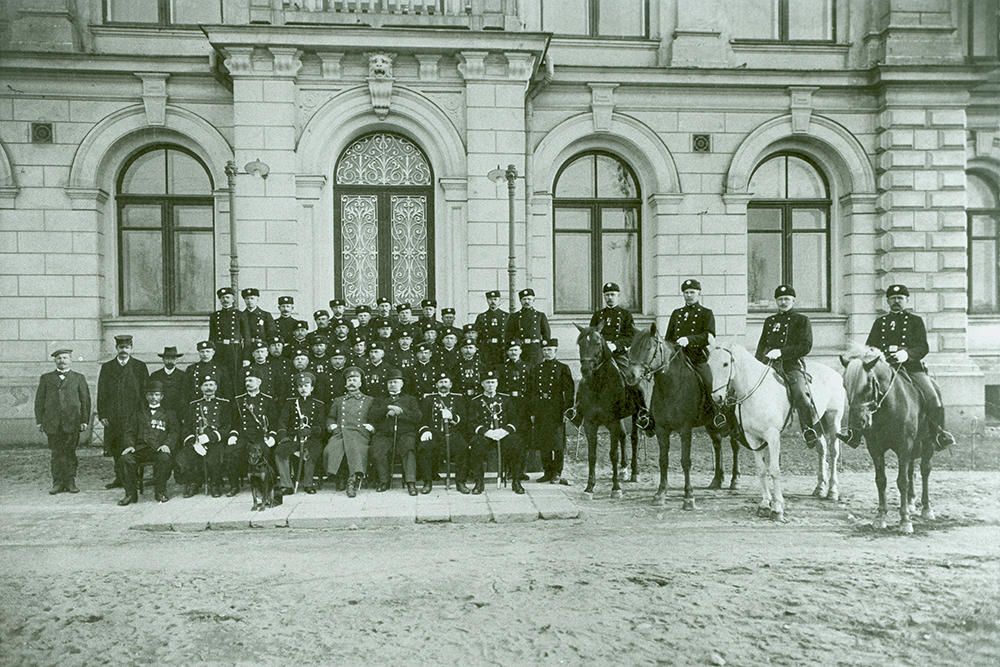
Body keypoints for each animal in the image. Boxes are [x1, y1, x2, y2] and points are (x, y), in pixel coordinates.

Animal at [624, 326, 736, 508]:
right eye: (631, 349)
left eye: (648, 348)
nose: (630, 376)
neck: (671, 386)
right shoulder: (662, 430)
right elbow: (663, 460)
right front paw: (660, 493)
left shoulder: (685, 429)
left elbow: (685, 461)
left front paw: (689, 496)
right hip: (711, 423)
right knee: (717, 444)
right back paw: (717, 480)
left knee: (735, 446)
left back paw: (735, 480)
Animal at [708, 344, 848, 520]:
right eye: (709, 364)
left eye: (726, 364)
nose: (717, 397)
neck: (756, 393)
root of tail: (836, 374)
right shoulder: (753, 438)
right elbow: (761, 470)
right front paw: (764, 504)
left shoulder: (773, 437)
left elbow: (774, 470)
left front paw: (777, 507)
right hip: (817, 422)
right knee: (821, 449)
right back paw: (820, 488)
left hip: (833, 419)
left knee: (833, 452)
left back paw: (832, 491)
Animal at [844, 348, 936, 536]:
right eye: (845, 386)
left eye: (867, 386)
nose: (858, 423)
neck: (889, 405)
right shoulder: (875, 448)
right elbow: (881, 480)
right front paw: (880, 517)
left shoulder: (904, 445)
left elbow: (902, 482)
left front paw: (905, 521)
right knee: (911, 469)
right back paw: (911, 502)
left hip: (927, 443)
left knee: (925, 470)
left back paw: (926, 508)